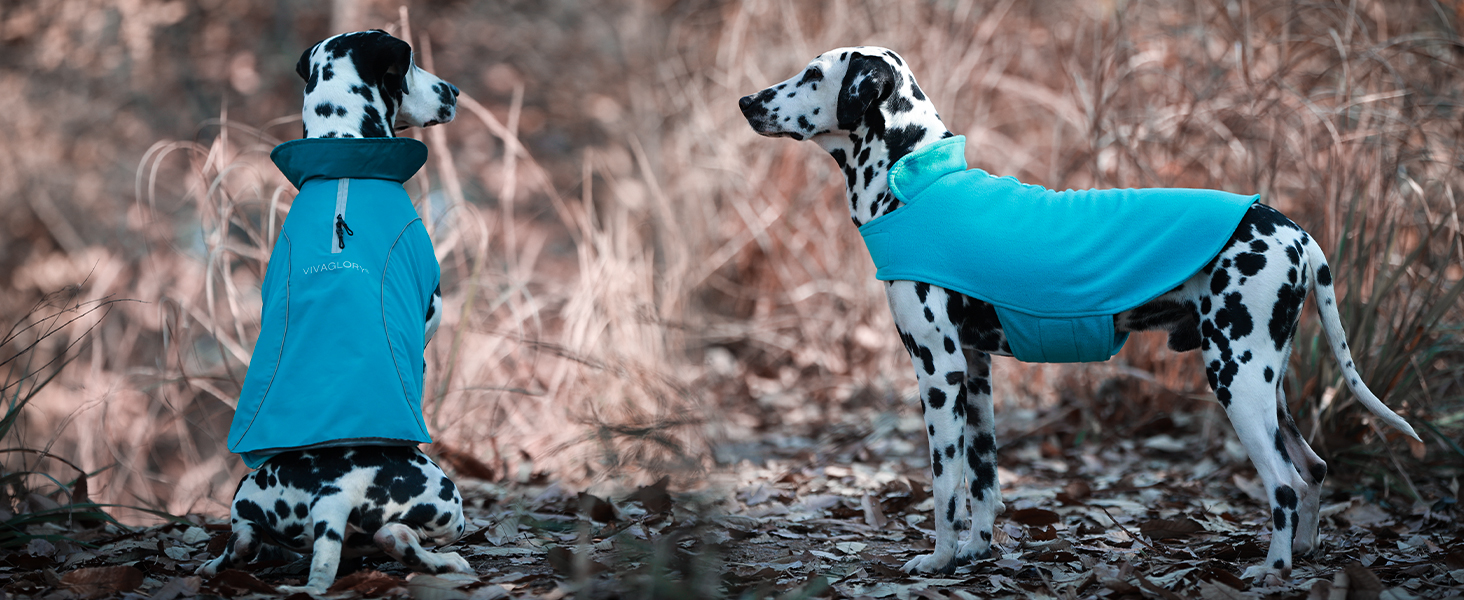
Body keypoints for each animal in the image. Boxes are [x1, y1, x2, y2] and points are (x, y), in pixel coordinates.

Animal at [737, 47, 1423, 582]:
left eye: (811, 73)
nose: (745, 100)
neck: (916, 182)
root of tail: (1292, 230)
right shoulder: (976, 374)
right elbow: (983, 482)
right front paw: (976, 553)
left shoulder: (939, 373)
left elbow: (945, 485)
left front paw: (937, 561)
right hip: (1266, 383)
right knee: (1312, 471)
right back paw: (1302, 554)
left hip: (1237, 379)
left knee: (1284, 482)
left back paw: (1273, 568)